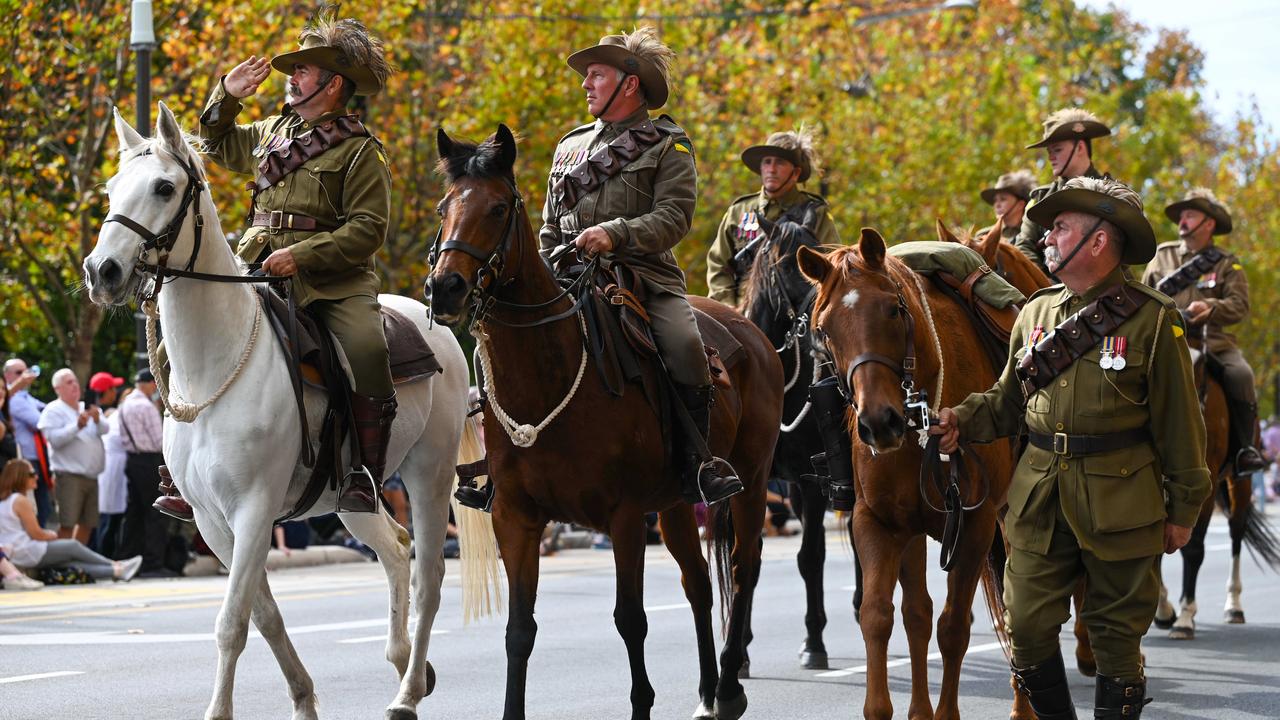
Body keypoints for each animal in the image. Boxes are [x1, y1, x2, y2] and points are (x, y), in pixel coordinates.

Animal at [83, 102, 499, 717]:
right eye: (112, 188)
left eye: (163, 187)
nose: (101, 271)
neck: (215, 369)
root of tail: (434, 325)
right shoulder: (211, 522)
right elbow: (264, 616)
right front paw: (303, 698)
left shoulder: (253, 511)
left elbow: (232, 622)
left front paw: (220, 710)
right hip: (355, 495)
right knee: (395, 549)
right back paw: (407, 662)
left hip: (430, 473)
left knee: (428, 575)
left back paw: (406, 692)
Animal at [424, 124, 778, 717]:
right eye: (444, 207)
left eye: (498, 208)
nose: (444, 287)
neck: (550, 374)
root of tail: (750, 330)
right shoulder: (516, 518)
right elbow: (519, 631)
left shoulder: (625, 516)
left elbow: (630, 619)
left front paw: (642, 702)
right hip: (678, 503)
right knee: (699, 584)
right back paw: (707, 690)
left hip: (749, 479)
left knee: (745, 569)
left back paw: (729, 686)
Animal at [798, 229, 1018, 717]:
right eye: (824, 329)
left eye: (893, 309)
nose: (879, 423)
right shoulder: (878, 524)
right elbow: (878, 615)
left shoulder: (975, 524)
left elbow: (954, 627)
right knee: (917, 612)